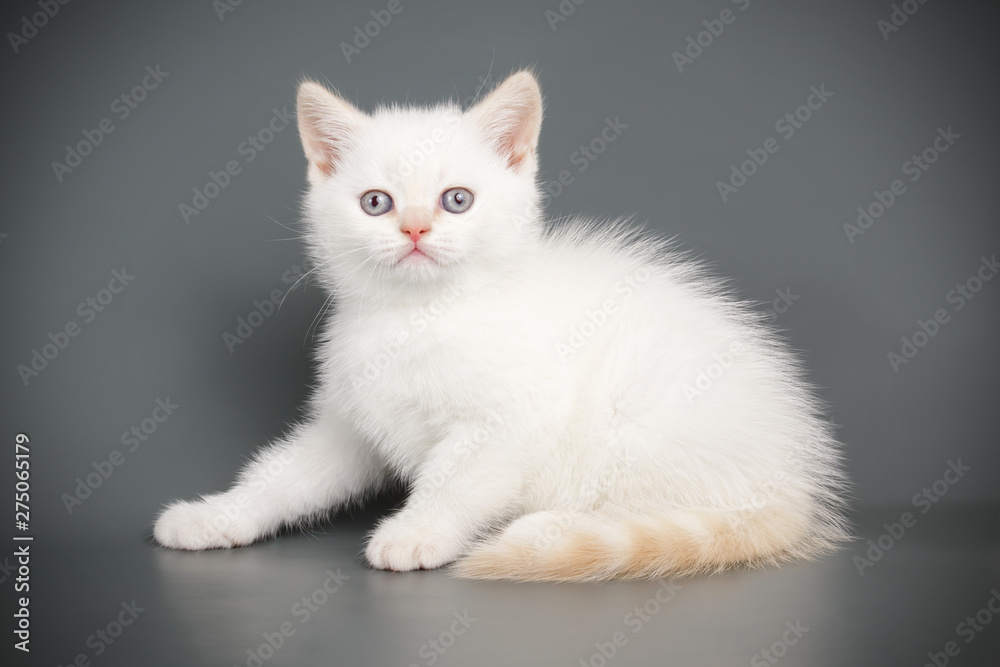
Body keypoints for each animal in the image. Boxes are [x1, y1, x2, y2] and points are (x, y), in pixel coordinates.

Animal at [152, 66, 848, 580]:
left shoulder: (512, 420)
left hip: (643, 427)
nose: (414, 228)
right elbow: (284, 474)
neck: (418, 318)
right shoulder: (349, 425)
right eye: (376, 203)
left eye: (456, 199)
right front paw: (216, 515)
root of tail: (795, 484)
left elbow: (455, 479)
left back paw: (551, 531)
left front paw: (416, 532)